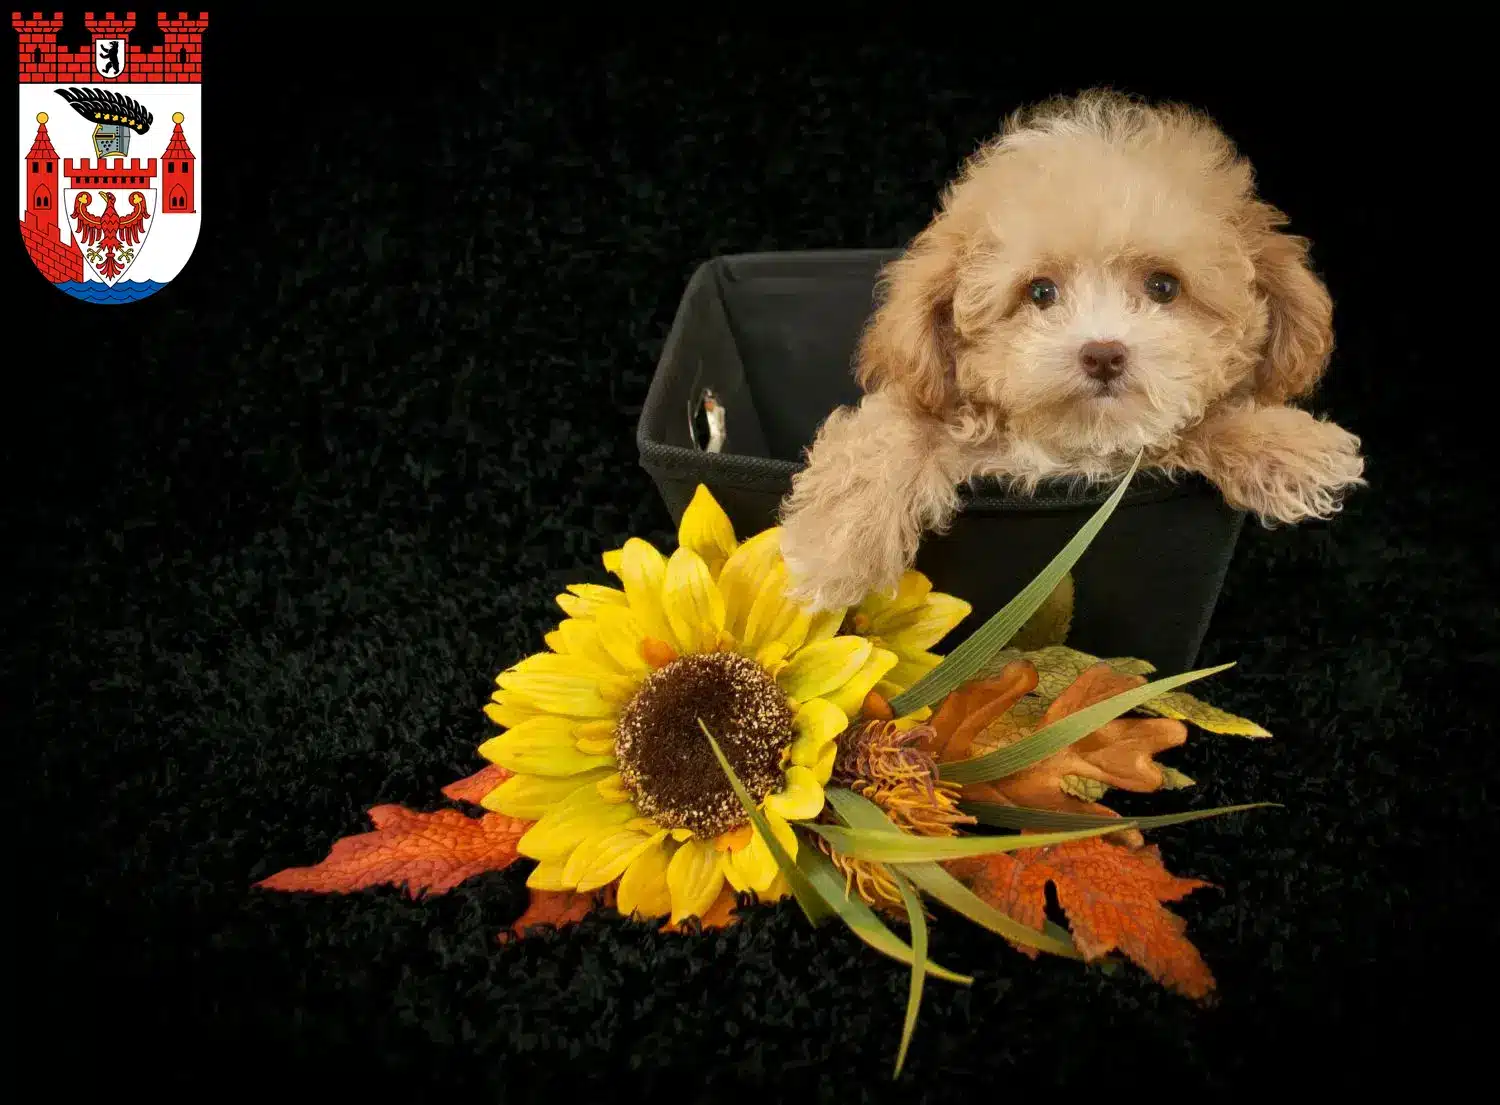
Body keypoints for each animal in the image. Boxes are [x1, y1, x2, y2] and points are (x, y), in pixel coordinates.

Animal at [780, 88, 1368, 611]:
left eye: (1163, 286)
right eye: (1040, 292)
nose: (1103, 353)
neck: (1074, 446)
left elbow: (1202, 420)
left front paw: (1289, 446)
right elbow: (892, 431)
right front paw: (832, 549)